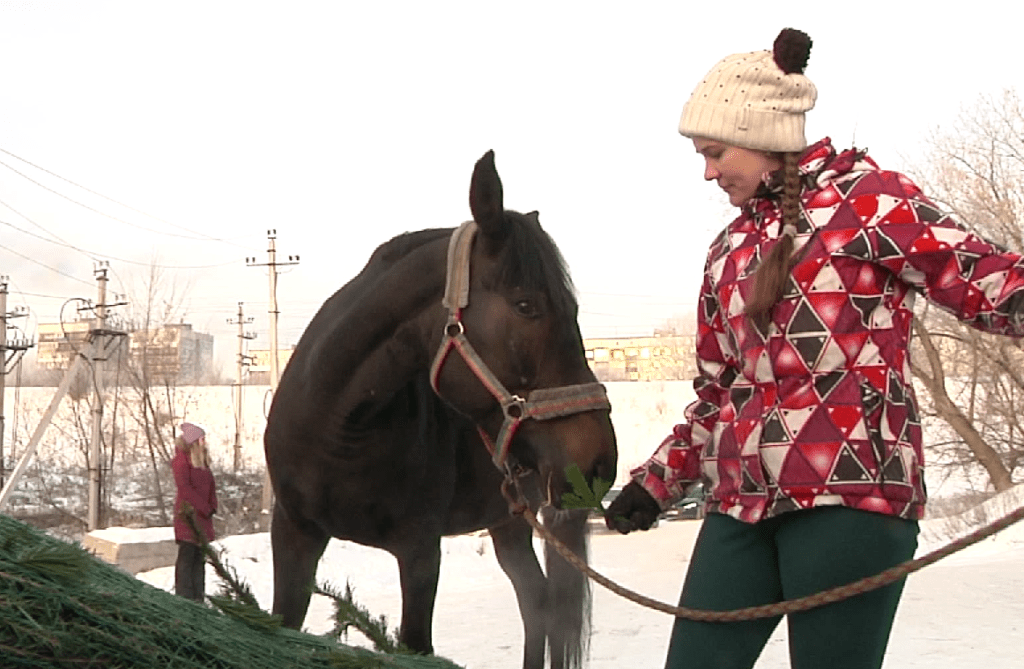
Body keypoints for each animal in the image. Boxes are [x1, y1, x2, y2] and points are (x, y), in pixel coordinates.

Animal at [264, 151, 614, 667]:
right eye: (526, 305)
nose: (599, 460)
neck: (342, 428)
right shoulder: (293, 536)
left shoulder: (419, 552)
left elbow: (417, 643)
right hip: (507, 523)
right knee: (536, 600)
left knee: (541, 606)